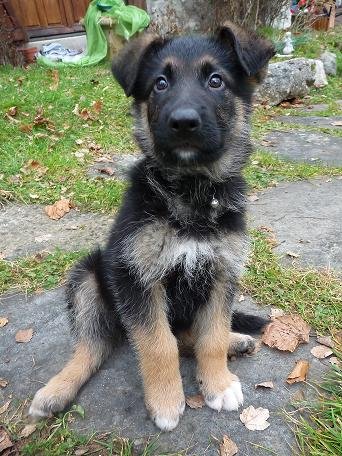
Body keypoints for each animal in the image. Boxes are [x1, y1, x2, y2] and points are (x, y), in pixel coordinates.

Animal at [30, 24, 276, 432]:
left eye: (216, 81)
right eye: (160, 83)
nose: (184, 122)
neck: (191, 191)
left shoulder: (222, 271)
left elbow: (210, 336)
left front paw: (218, 383)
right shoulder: (135, 274)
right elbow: (159, 343)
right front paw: (166, 402)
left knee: (191, 335)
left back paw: (235, 340)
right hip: (89, 276)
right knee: (92, 346)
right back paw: (56, 390)